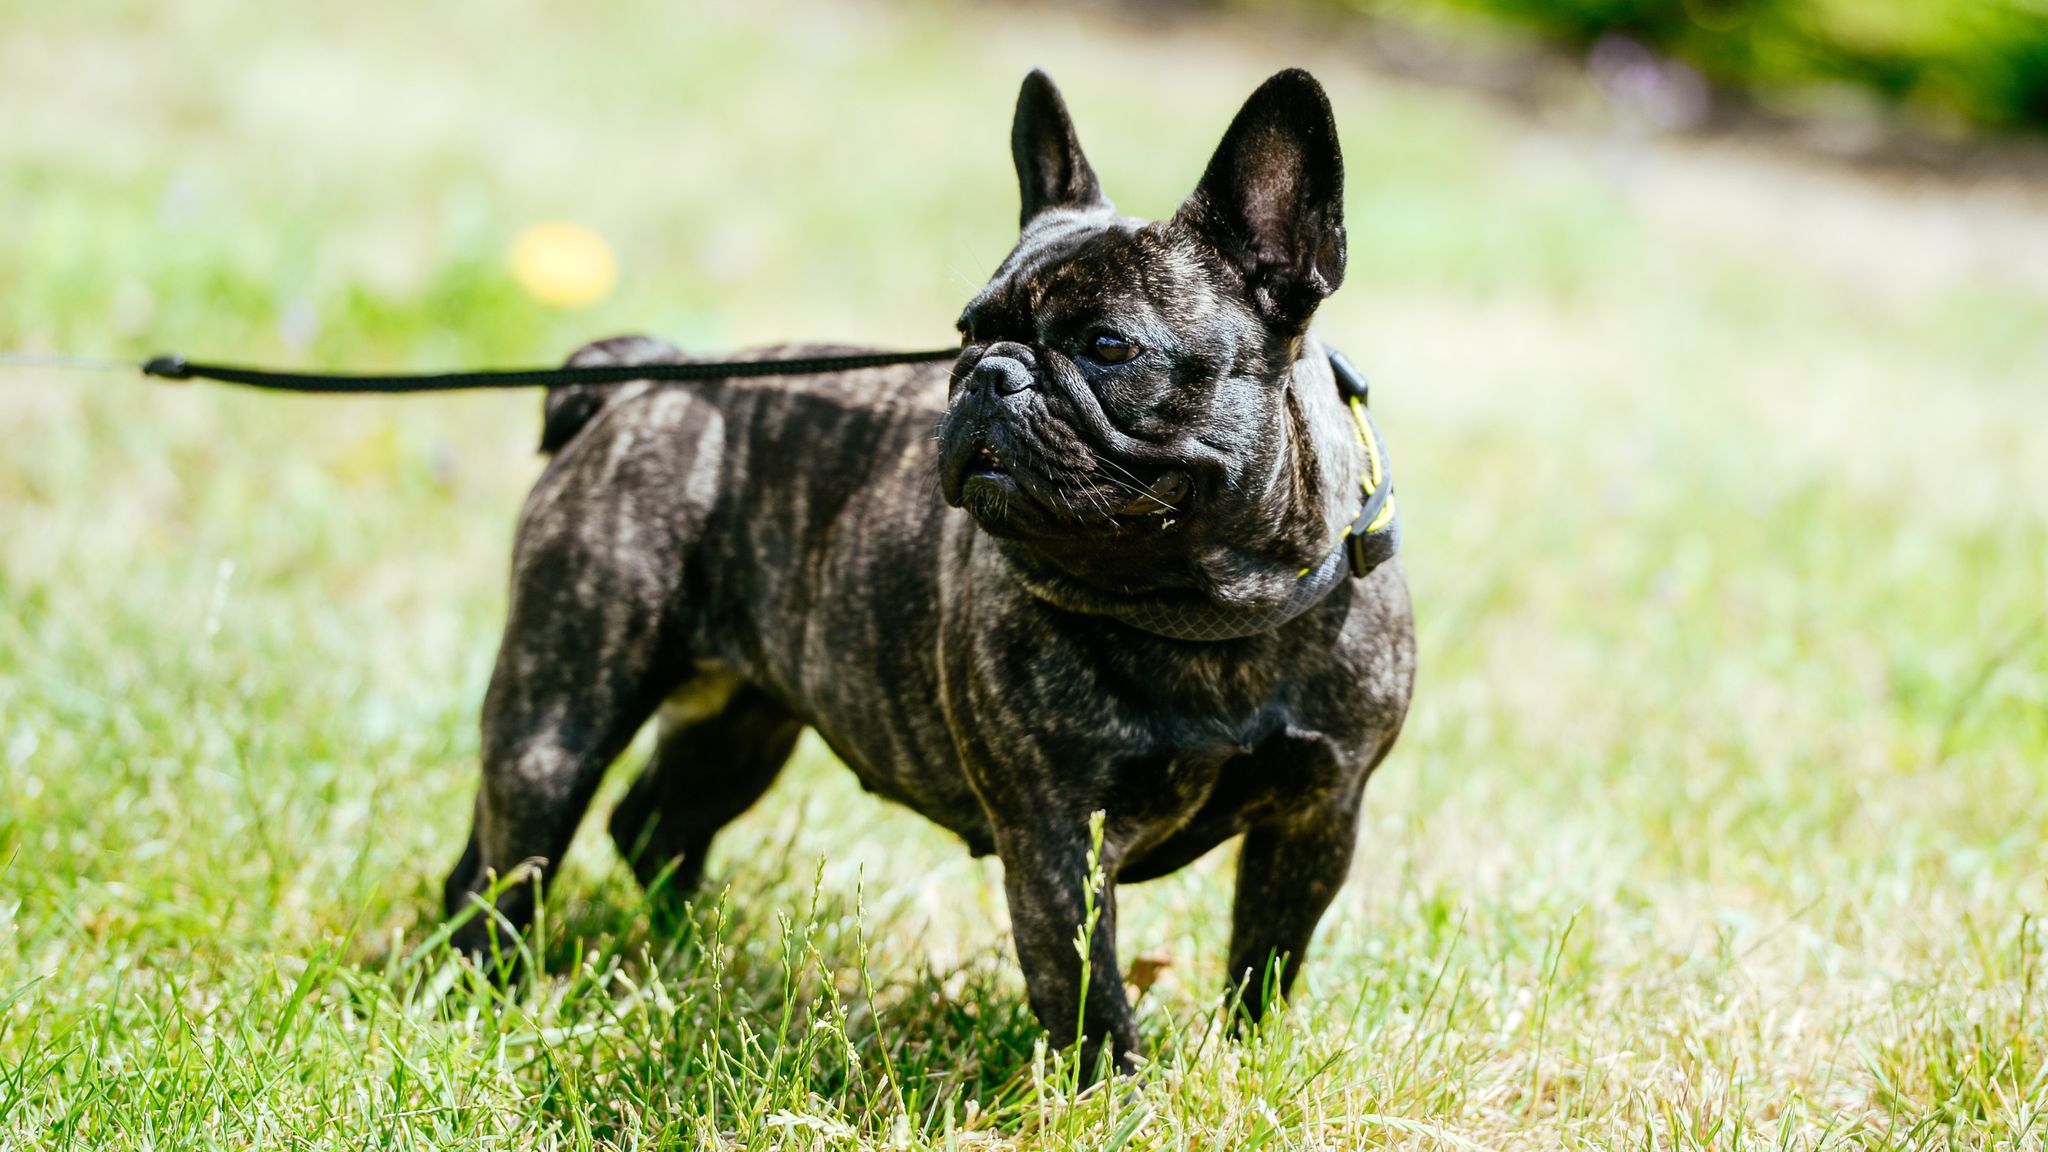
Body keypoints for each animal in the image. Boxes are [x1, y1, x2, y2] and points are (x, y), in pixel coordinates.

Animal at [442, 67, 1417, 1074]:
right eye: (965, 332)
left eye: (1108, 347)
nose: (990, 372)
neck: (1201, 609)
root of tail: (647, 381)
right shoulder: (1056, 845)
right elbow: (1089, 999)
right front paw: (1118, 1092)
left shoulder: (1316, 817)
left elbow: (1266, 960)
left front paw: (1243, 1059)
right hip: (559, 714)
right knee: (511, 863)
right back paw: (489, 993)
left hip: (744, 722)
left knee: (653, 824)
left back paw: (685, 955)